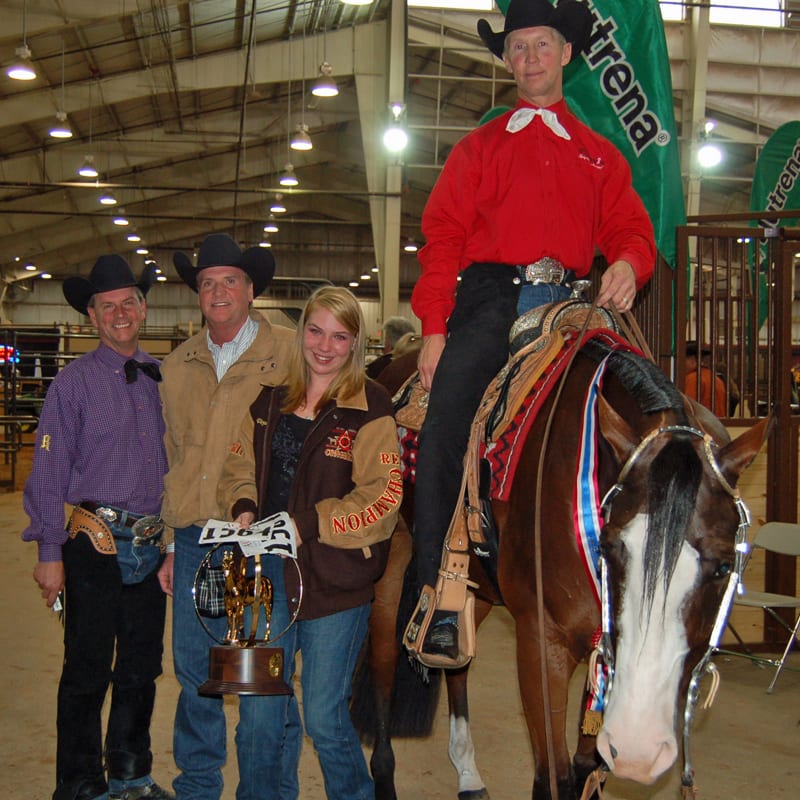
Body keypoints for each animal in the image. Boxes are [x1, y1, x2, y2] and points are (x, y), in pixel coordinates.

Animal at [354, 338, 768, 800]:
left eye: (724, 566)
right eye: (610, 546)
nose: (639, 748)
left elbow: (586, 768)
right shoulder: (542, 641)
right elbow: (553, 778)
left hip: (476, 589)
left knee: (457, 664)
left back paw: (468, 773)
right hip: (392, 564)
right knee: (384, 660)